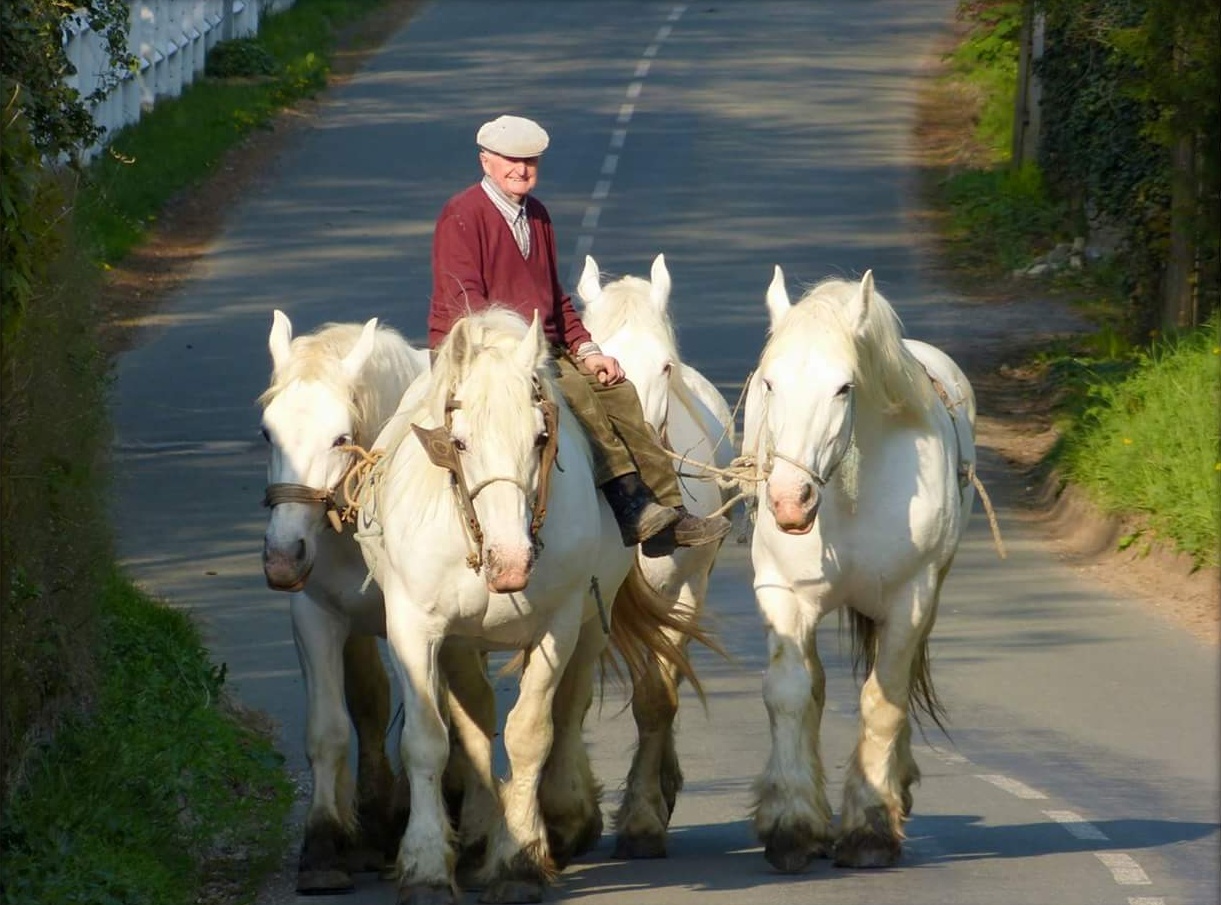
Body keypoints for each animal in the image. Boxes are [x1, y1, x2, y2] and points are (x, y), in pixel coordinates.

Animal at [257, 315, 429, 894]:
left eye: (342, 438)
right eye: (267, 432)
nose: (282, 556)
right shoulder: (317, 618)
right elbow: (331, 729)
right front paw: (325, 843)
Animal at [356, 306, 698, 898]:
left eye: (542, 438)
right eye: (460, 442)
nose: (511, 562)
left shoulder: (558, 625)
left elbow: (531, 732)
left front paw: (519, 859)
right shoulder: (416, 629)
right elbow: (429, 739)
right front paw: (425, 865)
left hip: (591, 621)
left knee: (569, 706)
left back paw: (561, 820)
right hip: (461, 642)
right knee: (473, 721)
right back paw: (475, 834)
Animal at [742, 266, 971, 869]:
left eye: (844, 387)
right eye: (769, 383)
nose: (789, 500)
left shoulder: (910, 599)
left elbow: (883, 699)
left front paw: (870, 827)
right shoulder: (783, 594)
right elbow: (791, 692)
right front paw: (792, 826)